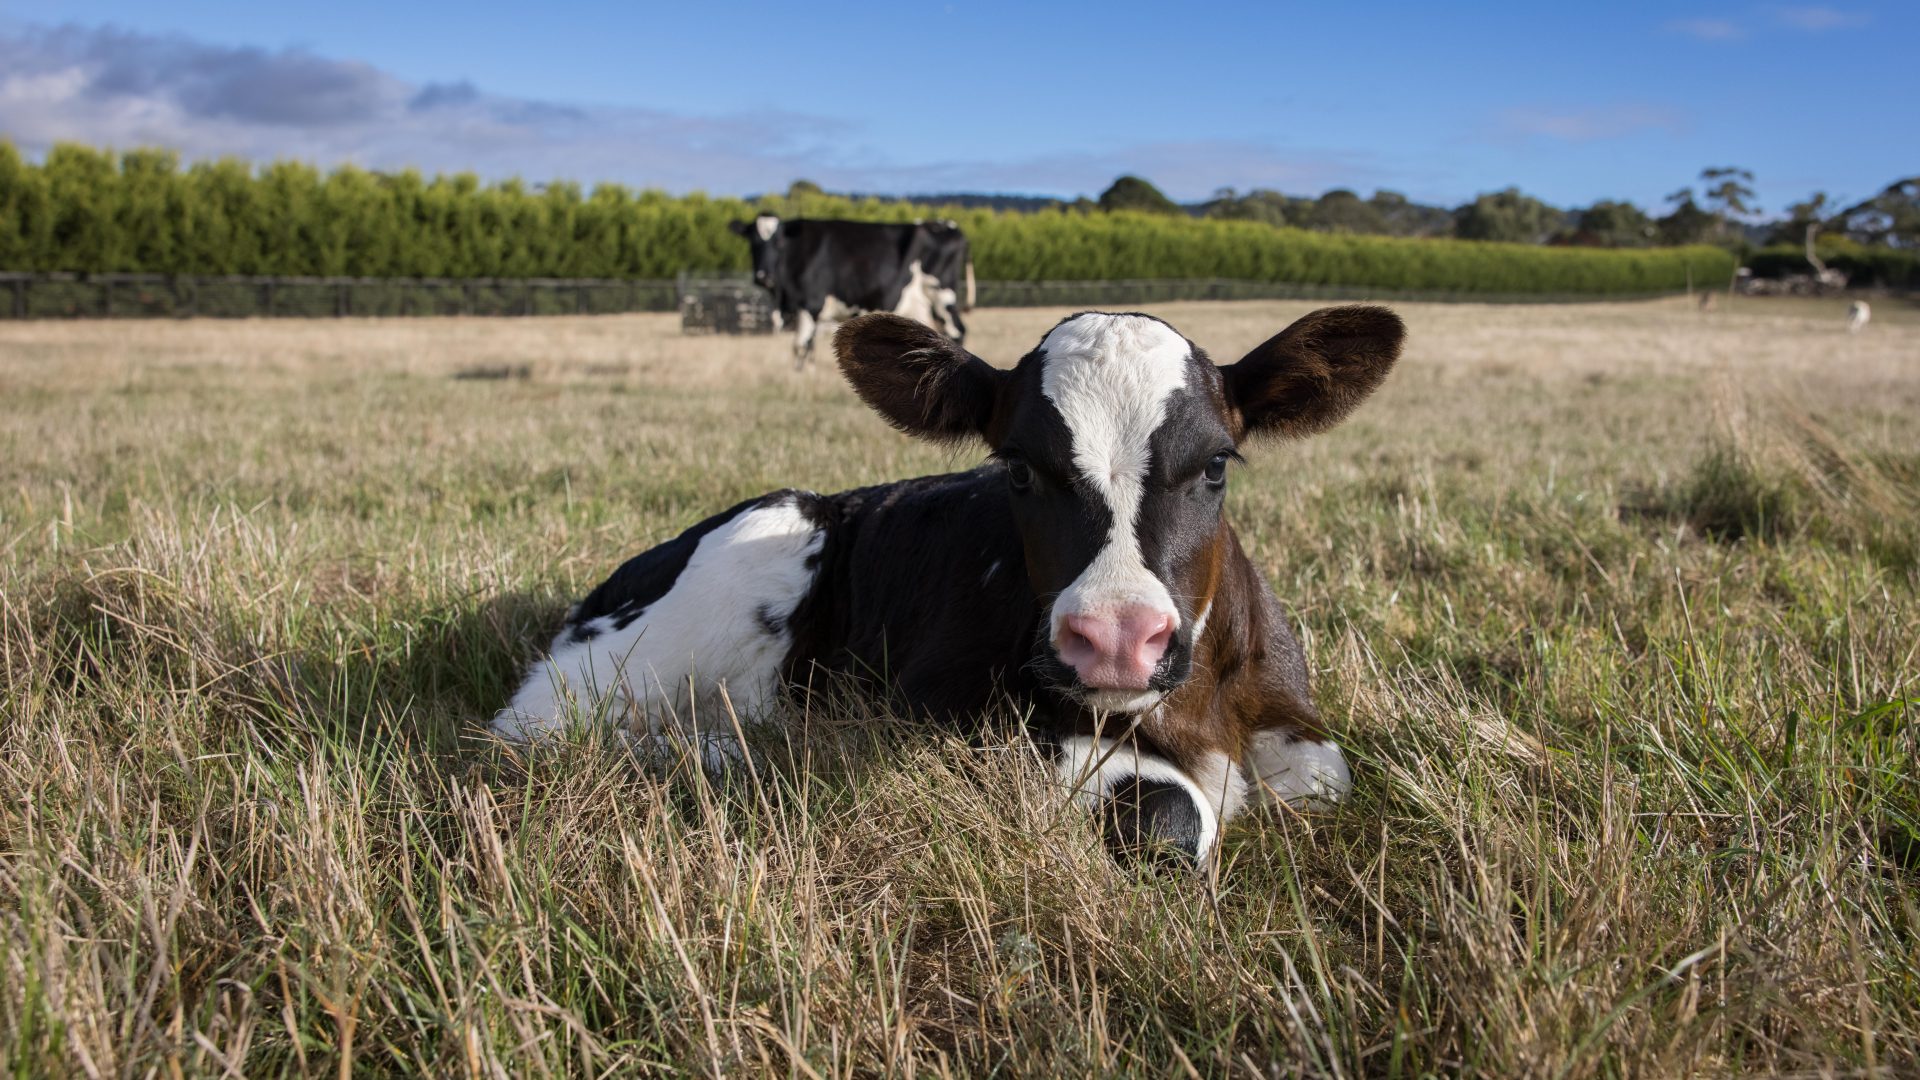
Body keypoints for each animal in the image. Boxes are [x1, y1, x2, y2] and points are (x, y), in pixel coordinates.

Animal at [499, 303, 1413, 864]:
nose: (1115, 639)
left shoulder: (1290, 716)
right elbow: (1165, 812)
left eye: (1217, 462)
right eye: (1016, 467)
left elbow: (1324, 779)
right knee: (541, 727)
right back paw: (730, 750)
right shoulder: (945, 708)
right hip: (739, 558)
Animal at [729, 215, 983, 365]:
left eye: (779, 242)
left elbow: (801, 346)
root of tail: (947, 225)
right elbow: (807, 347)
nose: (763, 276)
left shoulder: (810, 304)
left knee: (957, 331)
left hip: (941, 295)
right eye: (752, 242)